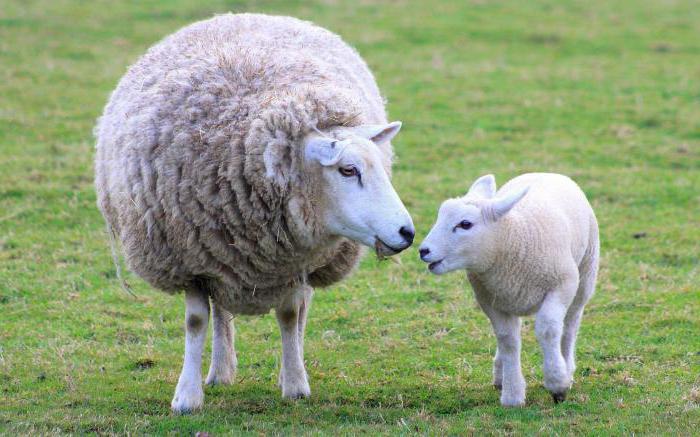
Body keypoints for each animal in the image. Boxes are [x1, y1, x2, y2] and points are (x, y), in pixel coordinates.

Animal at [98, 11, 416, 410]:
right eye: (348, 170)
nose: (407, 232)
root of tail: (241, 14)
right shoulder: (188, 259)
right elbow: (196, 321)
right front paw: (187, 396)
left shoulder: (293, 260)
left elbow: (290, 314)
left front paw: (294, 384)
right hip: (216, 257)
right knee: (221, 309)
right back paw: (219, 372)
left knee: (299, 310)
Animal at [418, 172, 600, 404]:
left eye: (465, 224)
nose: (424, 250)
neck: (512, 237)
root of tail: (545, 173)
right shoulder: (489, 300)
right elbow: (508, 340)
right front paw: (512, 395)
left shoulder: (562, 284)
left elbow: (548, 329)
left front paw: (557, 383)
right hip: (510, 296)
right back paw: (500, 374)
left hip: (585, 274)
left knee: (570, 325)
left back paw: (567, 367)